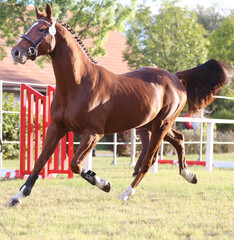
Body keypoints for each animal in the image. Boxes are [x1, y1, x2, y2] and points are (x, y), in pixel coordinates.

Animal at [8, 3, 229, 206]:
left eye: (41, 29)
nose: (16, 52)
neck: (78, 84)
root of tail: (175, 77)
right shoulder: (57, 127)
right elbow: (39, 162)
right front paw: (18, 196)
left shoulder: (93, 134)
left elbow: (75, 165)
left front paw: (102, 182)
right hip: (153, 124)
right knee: (180, 139)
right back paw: (189, 175)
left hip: (161, 125)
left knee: (149, 160)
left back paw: (126, 193)